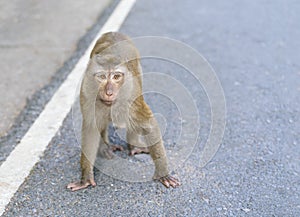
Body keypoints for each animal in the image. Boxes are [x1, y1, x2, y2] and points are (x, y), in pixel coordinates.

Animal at [67, 31, 180, 191]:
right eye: (102, 77)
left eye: (116, 77)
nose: (109, 92)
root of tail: (113, 32)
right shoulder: (87, 93)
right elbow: (91, 128)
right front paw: (86, 178)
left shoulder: (131, 96)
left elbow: (149, 124)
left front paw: (163, 174)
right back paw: (105, 147)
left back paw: (133, 144)